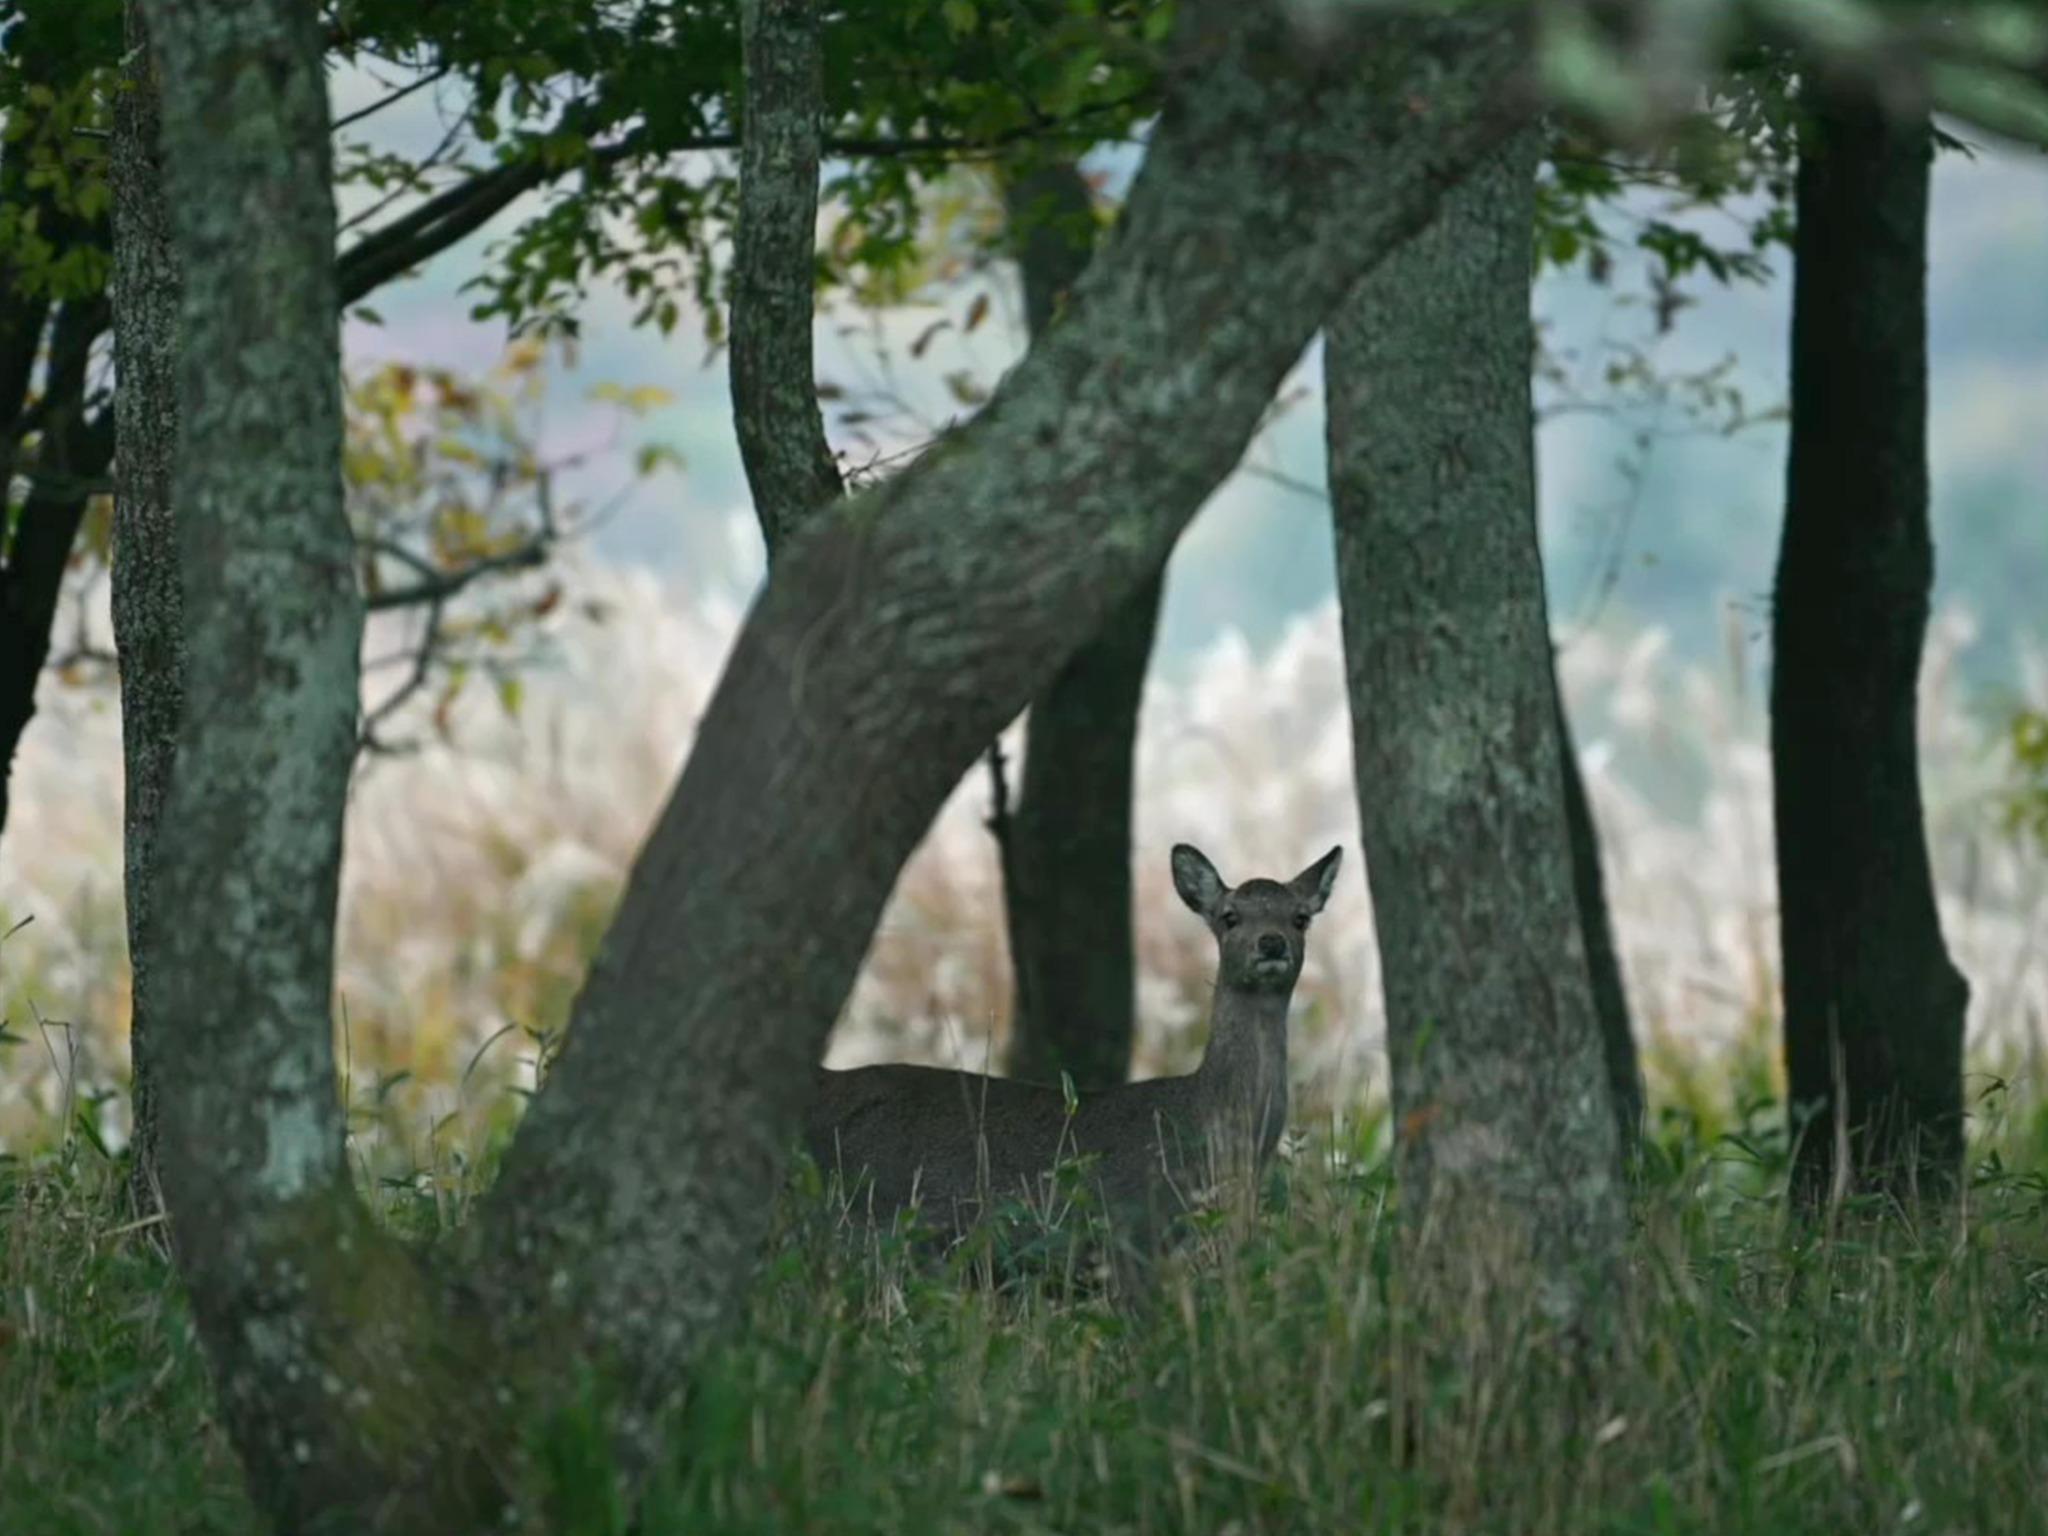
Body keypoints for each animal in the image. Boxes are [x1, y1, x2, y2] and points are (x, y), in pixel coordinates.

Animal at [798, 843, 1343, 1286]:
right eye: (1230, 916)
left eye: (1300, 917)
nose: (1271, 942)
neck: (1209, 1125)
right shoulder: (1131, 1231)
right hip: (870, 1224)